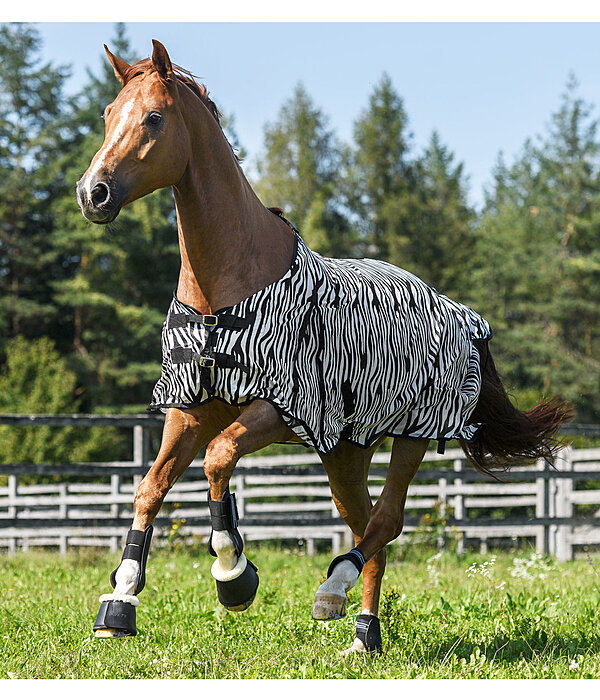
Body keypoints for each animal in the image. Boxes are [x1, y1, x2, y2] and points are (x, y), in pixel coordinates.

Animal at [77, 39, 568, 656]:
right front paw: (118, 602)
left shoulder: (280, 409)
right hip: (345, 452)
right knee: (368, 526)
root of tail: (459, 313)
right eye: (106, 114)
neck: (225, 289)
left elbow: (218, 460)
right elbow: (150, 488)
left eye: (154, 118)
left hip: (410, 437)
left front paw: (233, 576)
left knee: (386, 521)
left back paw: (333, 592)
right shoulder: (189, 409)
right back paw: (364, 633)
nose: (92, 193)